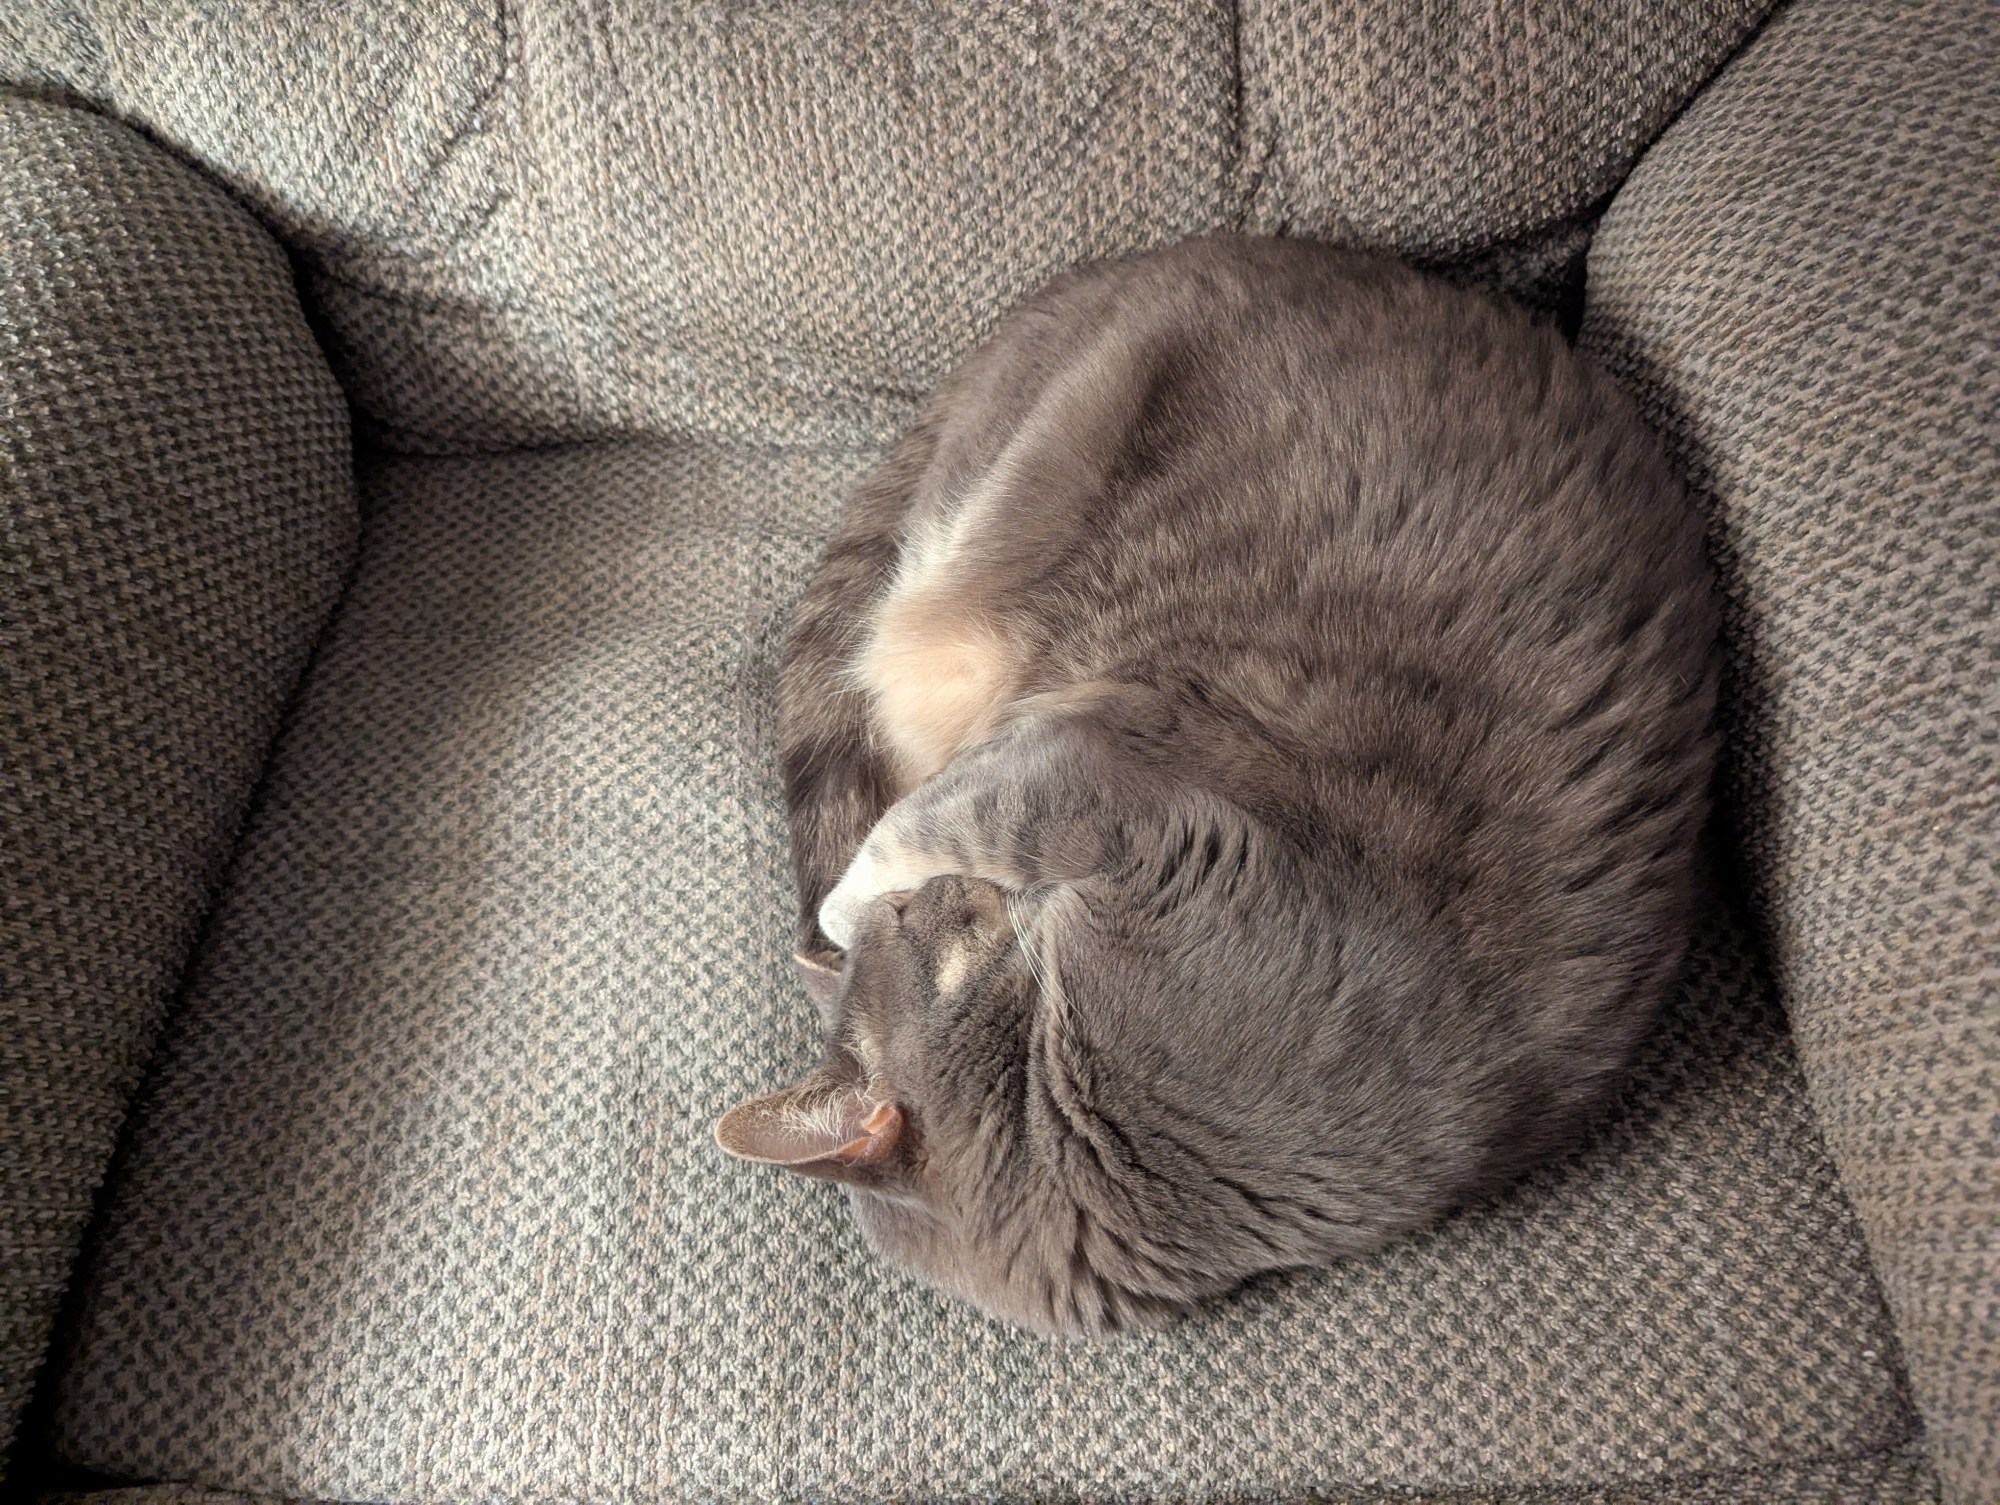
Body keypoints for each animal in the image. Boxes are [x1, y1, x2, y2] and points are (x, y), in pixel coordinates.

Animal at [715, 234, 1721, 1337]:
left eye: (918, 927)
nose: (936, 902)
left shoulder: (1099, 785)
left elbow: (947, 817)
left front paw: (853, 904)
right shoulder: (1117, 805)